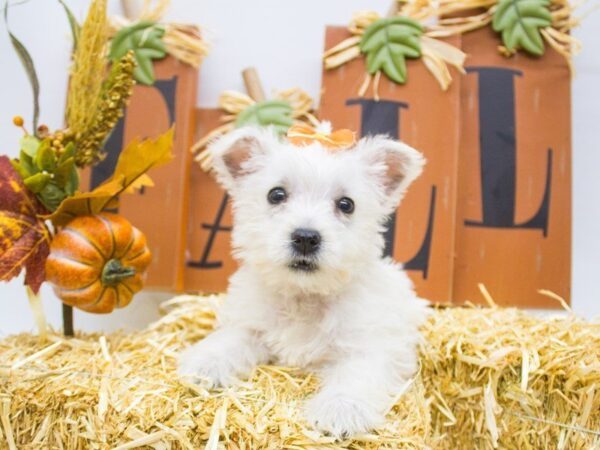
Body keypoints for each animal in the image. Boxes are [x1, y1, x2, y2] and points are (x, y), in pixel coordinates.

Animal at [179, 125, 432, 438]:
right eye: (276, 194)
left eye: (346, 204)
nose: (306, 237)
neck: (304, 294)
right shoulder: (252, 324)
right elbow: (229, 339)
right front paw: (204, 363)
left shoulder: (371, 346)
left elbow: (356, 375)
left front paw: (340, 409)